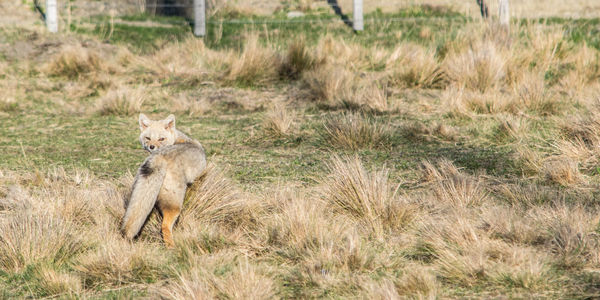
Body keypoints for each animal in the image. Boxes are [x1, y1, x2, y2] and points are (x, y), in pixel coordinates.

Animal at [120, 113, 207, 247]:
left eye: (161, 139)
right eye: (148, 138)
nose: (151, 147)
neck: (178, 139)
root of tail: (159, 157)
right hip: (175, 206)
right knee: (165, 226)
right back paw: (171, 246)